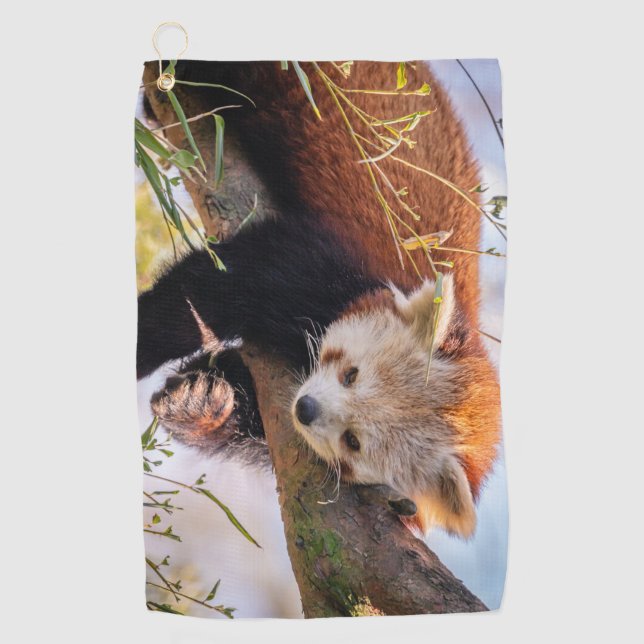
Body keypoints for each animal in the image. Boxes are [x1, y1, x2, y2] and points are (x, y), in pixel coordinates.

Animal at [137, 61, 501, 539]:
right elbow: (209, 290)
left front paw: (200, 402)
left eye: (354, 441)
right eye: (351, 374)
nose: (307, 409)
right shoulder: (323, 262)